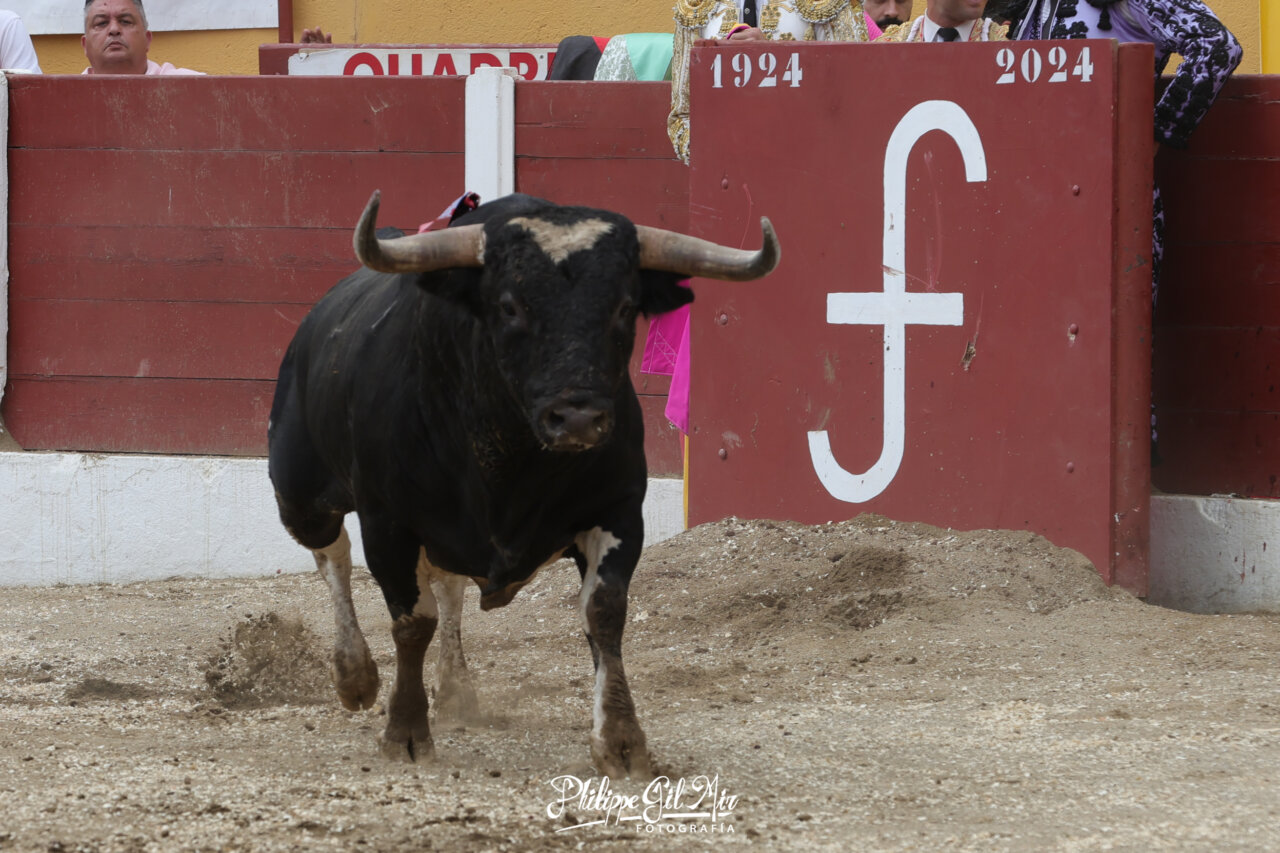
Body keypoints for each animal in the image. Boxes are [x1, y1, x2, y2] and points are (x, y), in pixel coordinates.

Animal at [267, 190, 779, 778]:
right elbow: (411, 622)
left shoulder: (619, 511)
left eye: (625, 307)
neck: (511, 459)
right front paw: (405, 730)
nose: (577, 417)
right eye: (510, 306)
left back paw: (456, 690)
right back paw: (354, 676)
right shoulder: (388, 523)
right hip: (301, 496)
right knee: (333, 558)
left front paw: (622, 740)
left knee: (447, 586)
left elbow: (604, 611)